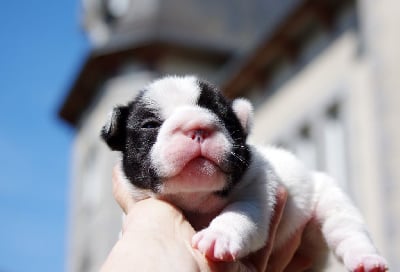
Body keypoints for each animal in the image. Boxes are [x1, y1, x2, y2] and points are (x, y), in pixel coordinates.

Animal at [101, 75, 390, 270]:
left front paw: (219, 236)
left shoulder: (258, 189)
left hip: (329, 196)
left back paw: (366, 259)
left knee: (347, 230)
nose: (197, 126)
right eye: (150, 125)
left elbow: (240, 214)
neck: (196, 198)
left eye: (223, 118)